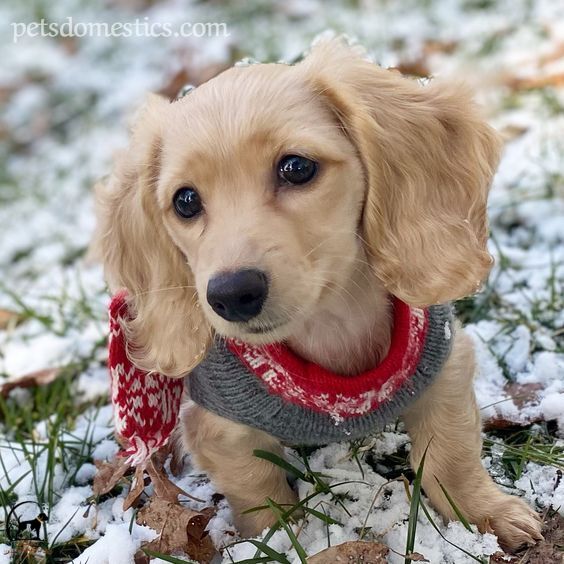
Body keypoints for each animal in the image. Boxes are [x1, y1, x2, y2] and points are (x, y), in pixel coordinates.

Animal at [94, 39, 544, 552]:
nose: (231, 295)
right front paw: (277, 541)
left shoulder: (444, 365)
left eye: (296, 167)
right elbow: (258, 489)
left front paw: (485, 516)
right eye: (185, 201)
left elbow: (451, 454)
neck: (331, 325)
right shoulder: (219, 425)